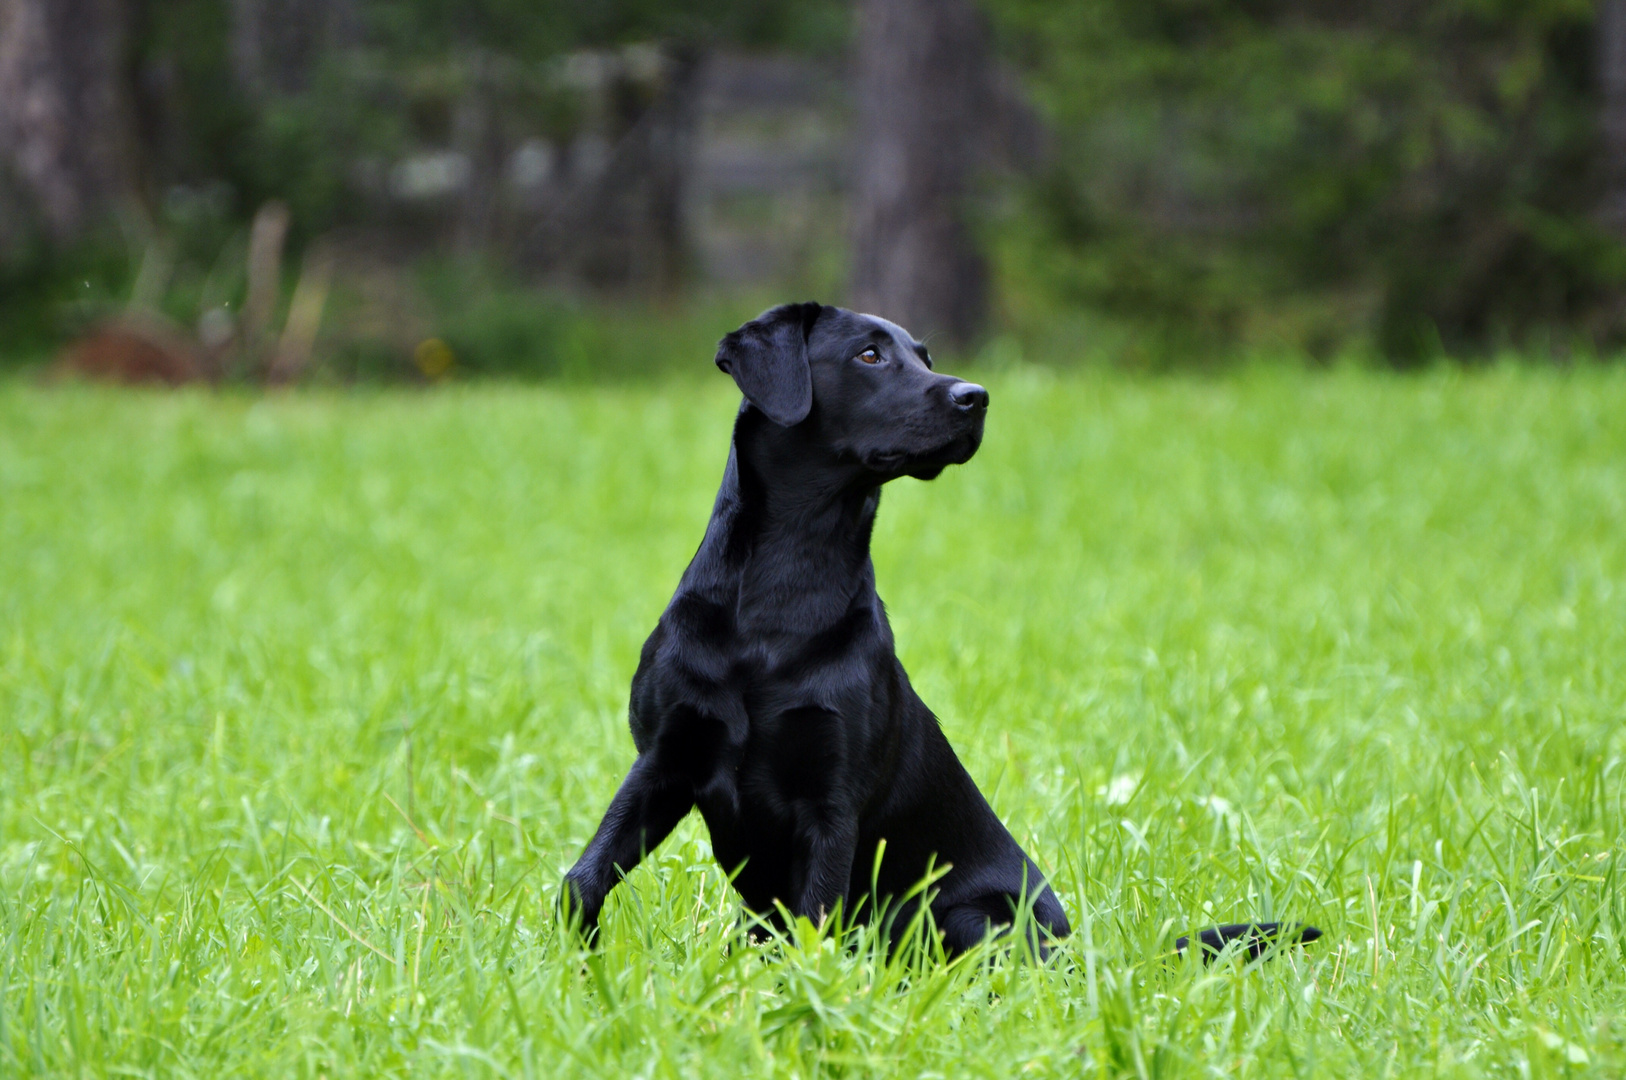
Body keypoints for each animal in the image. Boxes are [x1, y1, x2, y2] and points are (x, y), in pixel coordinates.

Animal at [565, 304, 1313, 962]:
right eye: (870, 354)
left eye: (925, 356)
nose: (976, 397)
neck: (781, 593)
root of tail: (1085, 957)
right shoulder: (666, 757)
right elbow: (581, 881)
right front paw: (582, 972)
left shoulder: (831, 805)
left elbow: (812, 926)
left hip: (970, 914)